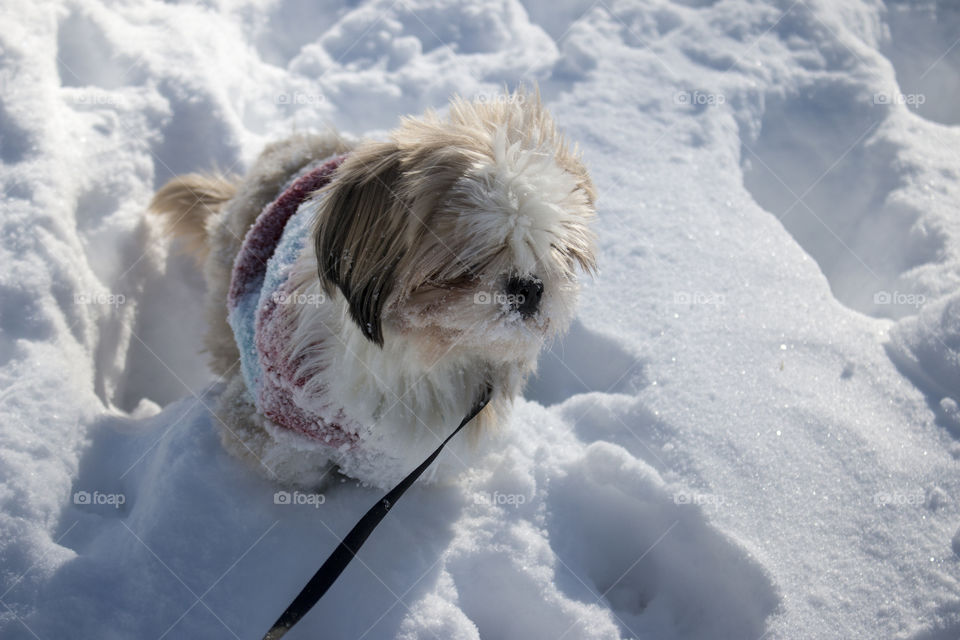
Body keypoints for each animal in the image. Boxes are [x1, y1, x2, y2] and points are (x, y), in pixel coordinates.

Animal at [150, 90, 596, 488]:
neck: (419, 354)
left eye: (556, 252)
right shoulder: (270, 411)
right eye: (471, 260)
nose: (530, 287)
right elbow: (296, 464)